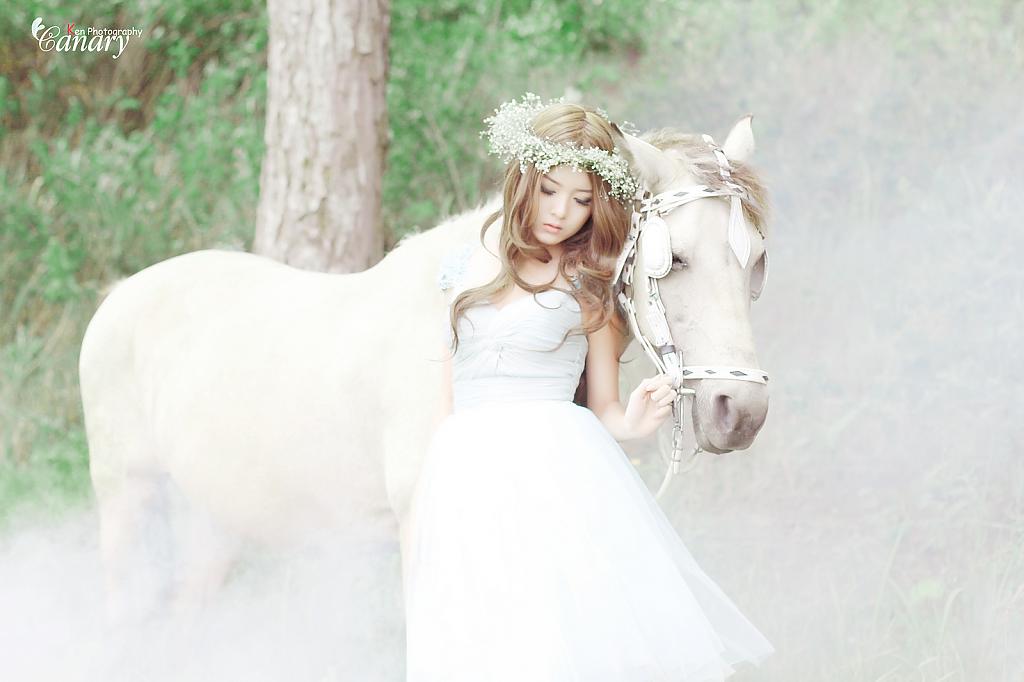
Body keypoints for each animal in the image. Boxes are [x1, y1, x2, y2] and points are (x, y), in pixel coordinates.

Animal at [79, 118, 770, 622]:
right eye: (674, 260)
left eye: (757, 261)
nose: (741, 414)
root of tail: (119, 297)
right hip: (126, 502)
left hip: (209, 522)